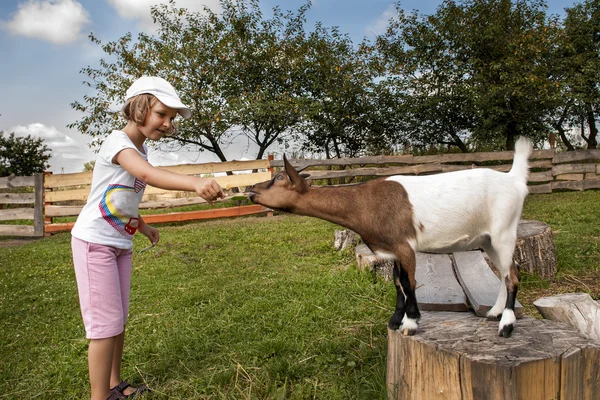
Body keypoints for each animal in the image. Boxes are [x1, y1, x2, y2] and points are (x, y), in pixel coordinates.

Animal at [248, 138, 536, 338]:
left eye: (279, 177)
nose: (251, 188)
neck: (362, 204)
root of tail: (514, 179)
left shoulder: (405, 245)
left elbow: (409, 283)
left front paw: (411, 322)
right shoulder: (392, 249)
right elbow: (398, 283)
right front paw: (396, 320)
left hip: (504, 231)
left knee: (512, 274)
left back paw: (506, 324)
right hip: (487, 239)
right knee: (506, 271)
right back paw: (495, 312)